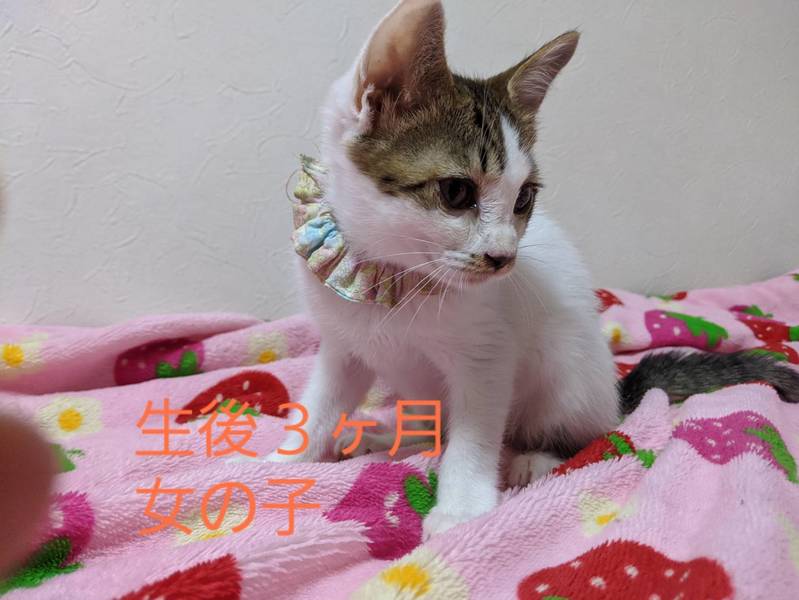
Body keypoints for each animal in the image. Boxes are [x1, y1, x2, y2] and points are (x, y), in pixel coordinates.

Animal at [270, 0, 799, 537]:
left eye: (523, 198)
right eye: (457, 191)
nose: (503, 257)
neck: (392, 271)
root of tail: (615, 393)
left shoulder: (488, 355)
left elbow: (475, 433)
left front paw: (462, 508)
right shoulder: (344, 345)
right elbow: (322, 401)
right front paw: (283, 462)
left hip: (568, 373)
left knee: (589, 432)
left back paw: (536, 458)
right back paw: (399, 436)